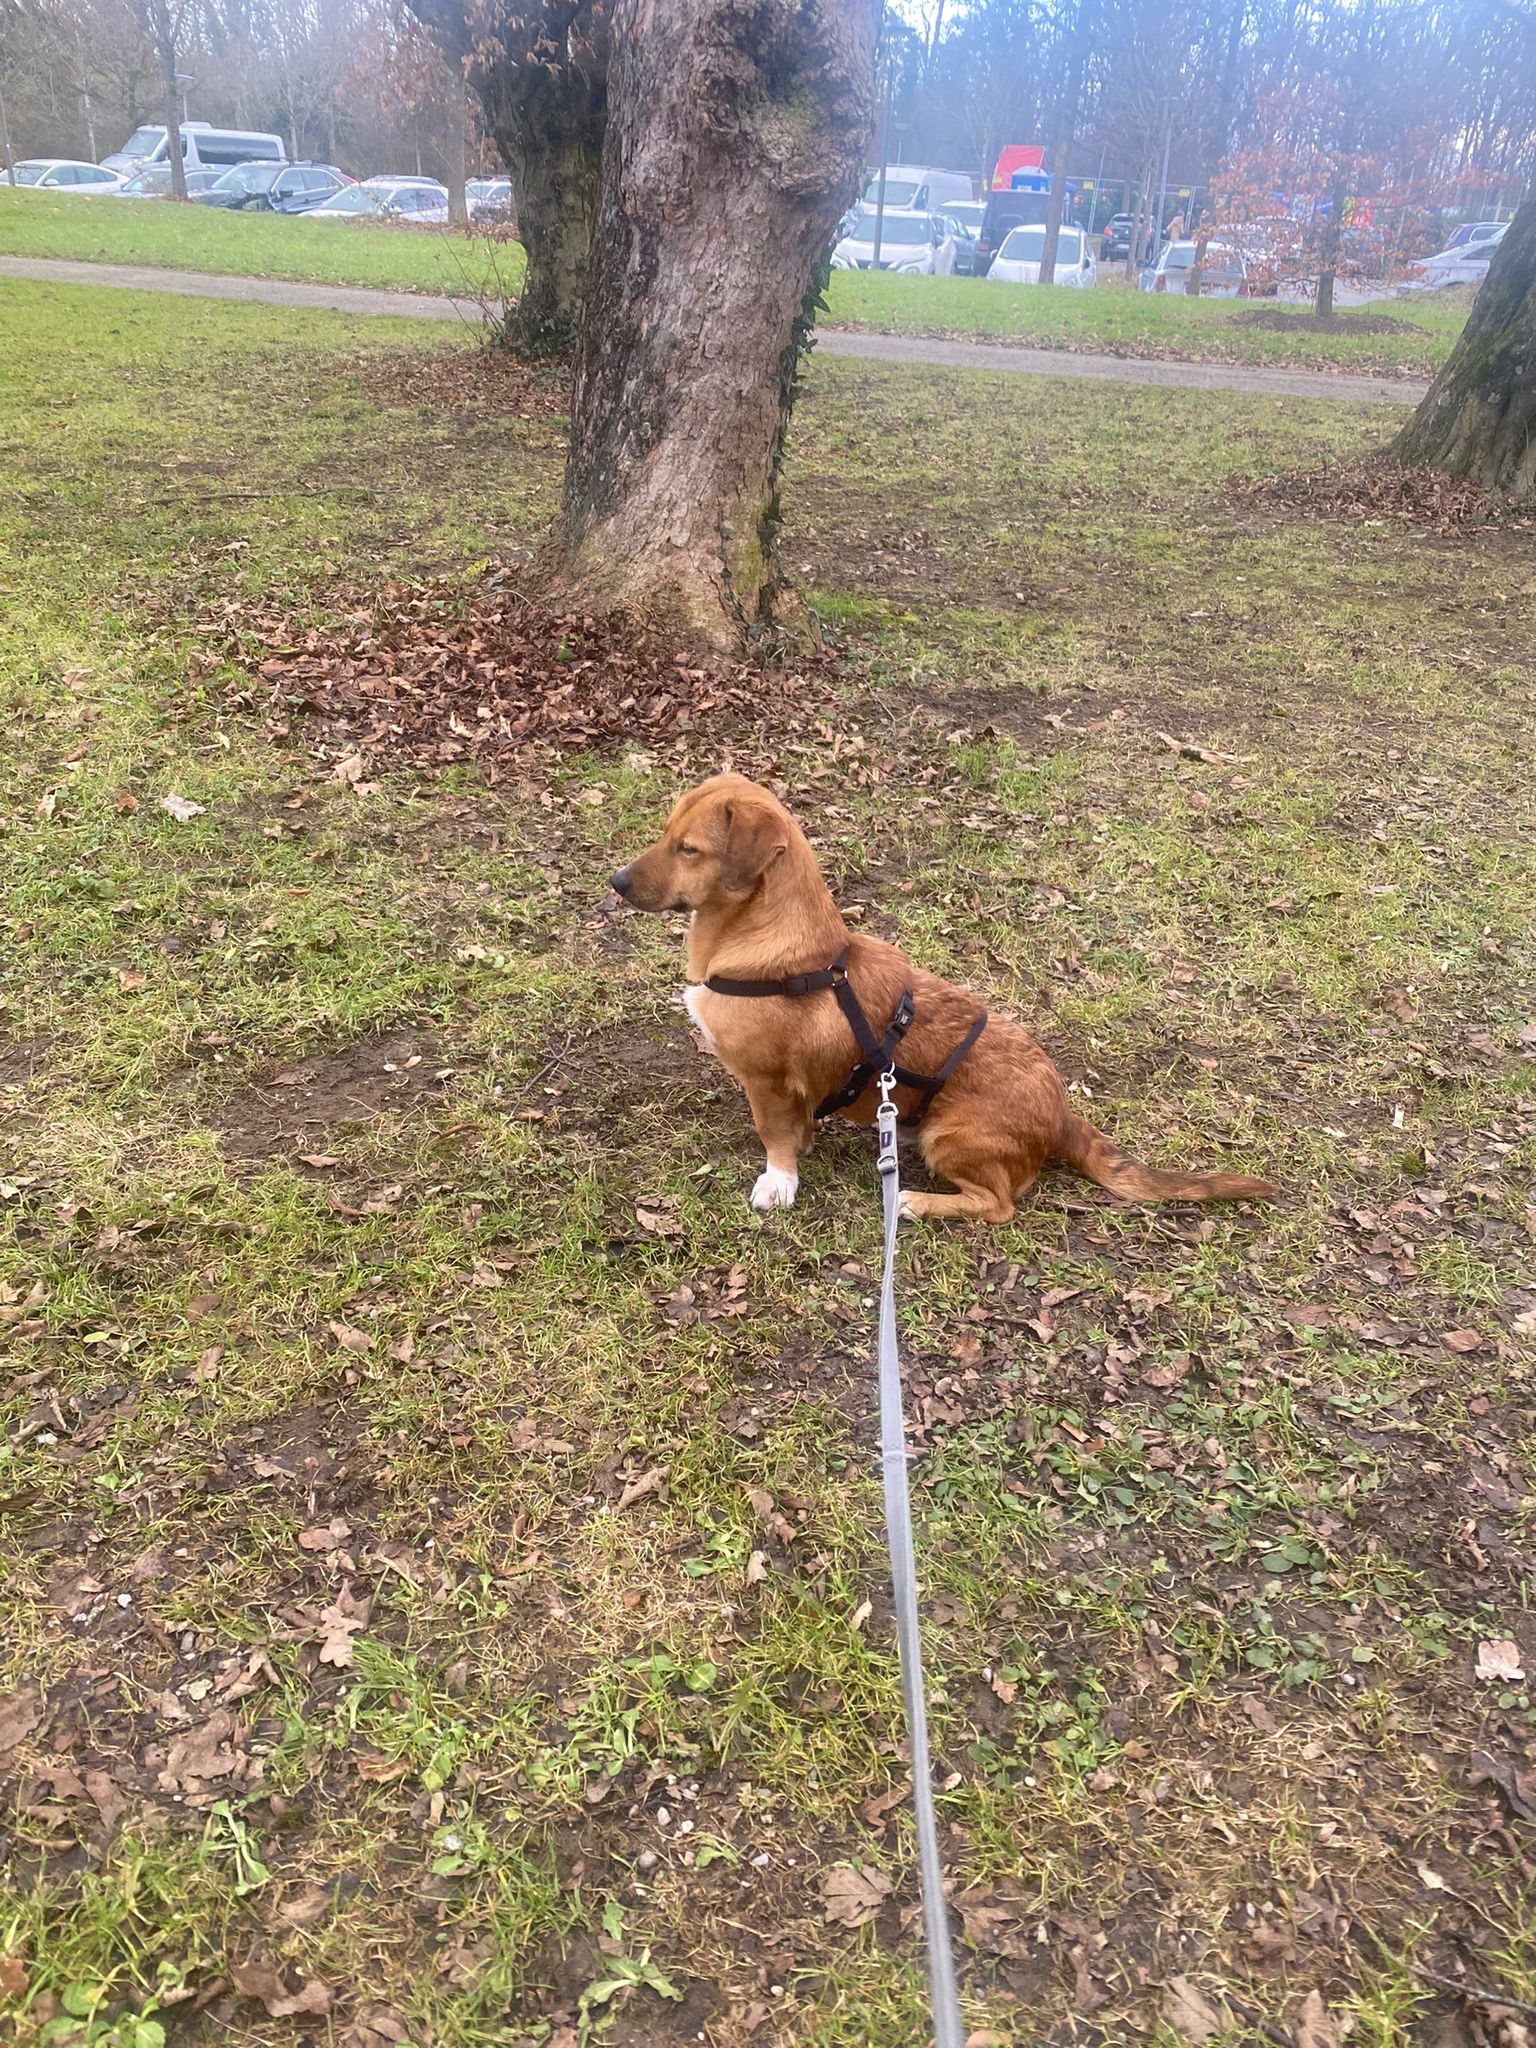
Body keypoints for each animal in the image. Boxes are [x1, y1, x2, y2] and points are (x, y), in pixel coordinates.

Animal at [611, 774, 1274, 1222]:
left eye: (689, 849)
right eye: (666, 835)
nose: (615, 883)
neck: (771, 948)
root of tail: (1061, 1117)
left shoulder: (766, 1082)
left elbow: (774, 1139)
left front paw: (779, 1182)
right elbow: (796, 1128)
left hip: (950, 1138)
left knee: (998, 1205)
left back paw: (918, 1201)